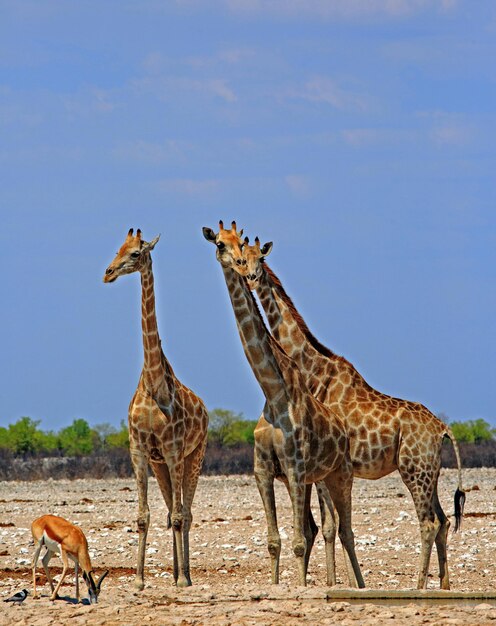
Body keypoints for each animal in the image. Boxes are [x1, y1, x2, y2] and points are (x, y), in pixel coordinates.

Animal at [102, 228, 207, 584]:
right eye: (117, 248)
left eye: (135, 253)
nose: (108, 272)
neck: (152, 382)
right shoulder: (139, 449)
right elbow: (144, 516)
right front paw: (138, 579)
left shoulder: (174, 450)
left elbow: (179, 516)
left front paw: (183, 579)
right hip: (161, 464)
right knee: (171, 511)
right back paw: (174, 572)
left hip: (193, 457)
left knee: (186, 513)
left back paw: (184, 575)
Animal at [202, 222, 364, 588]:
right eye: (220, 243)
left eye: (242, 245)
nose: (240, 266)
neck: (275, 392)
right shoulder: (264, 470)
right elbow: (275, 541)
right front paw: (277, 585)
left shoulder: (295, 467)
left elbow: (299, 541)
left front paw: (302, 587)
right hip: (311, 479)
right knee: (322, 528)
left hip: (337, 475)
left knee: (344, 530)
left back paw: (356, 585)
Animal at [239, 235, 464, 588]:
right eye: (240, 257)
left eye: (260, 259)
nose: (249, 278)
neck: (313, 369)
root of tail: (443, 428)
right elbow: (328, 526)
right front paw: (343, 581)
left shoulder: (323, 464)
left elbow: (328, 526)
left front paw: (336, 582)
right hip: (430, 470)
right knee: (443, 520)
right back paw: (443, 584)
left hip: (413, 469)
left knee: (428, 522)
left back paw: (419, 585)